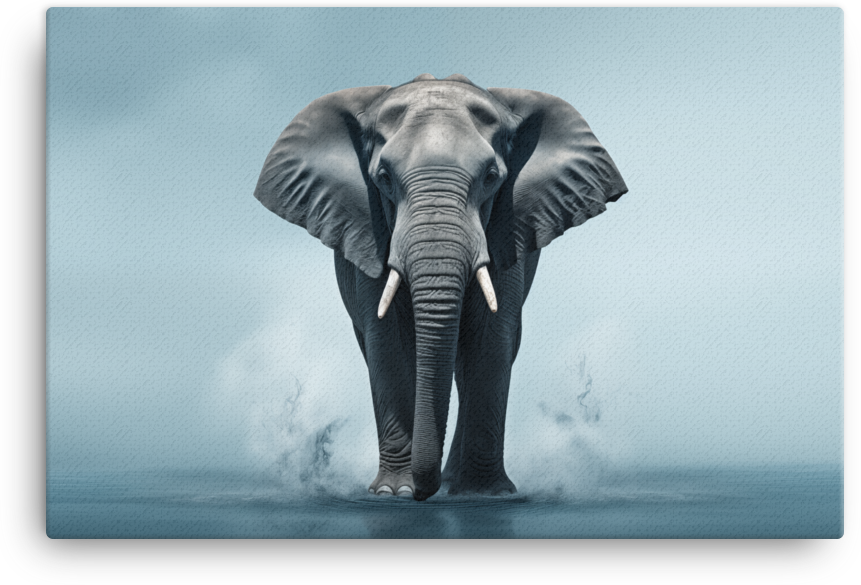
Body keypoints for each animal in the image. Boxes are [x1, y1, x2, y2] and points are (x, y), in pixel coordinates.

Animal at [253, 73, 627, 501]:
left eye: (491, 177)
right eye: (383, 178)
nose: (422, 492)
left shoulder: (507, 230)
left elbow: (489, 343)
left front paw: (484, 495)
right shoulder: (370, 232)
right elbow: (389, 343)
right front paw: (394, 493)